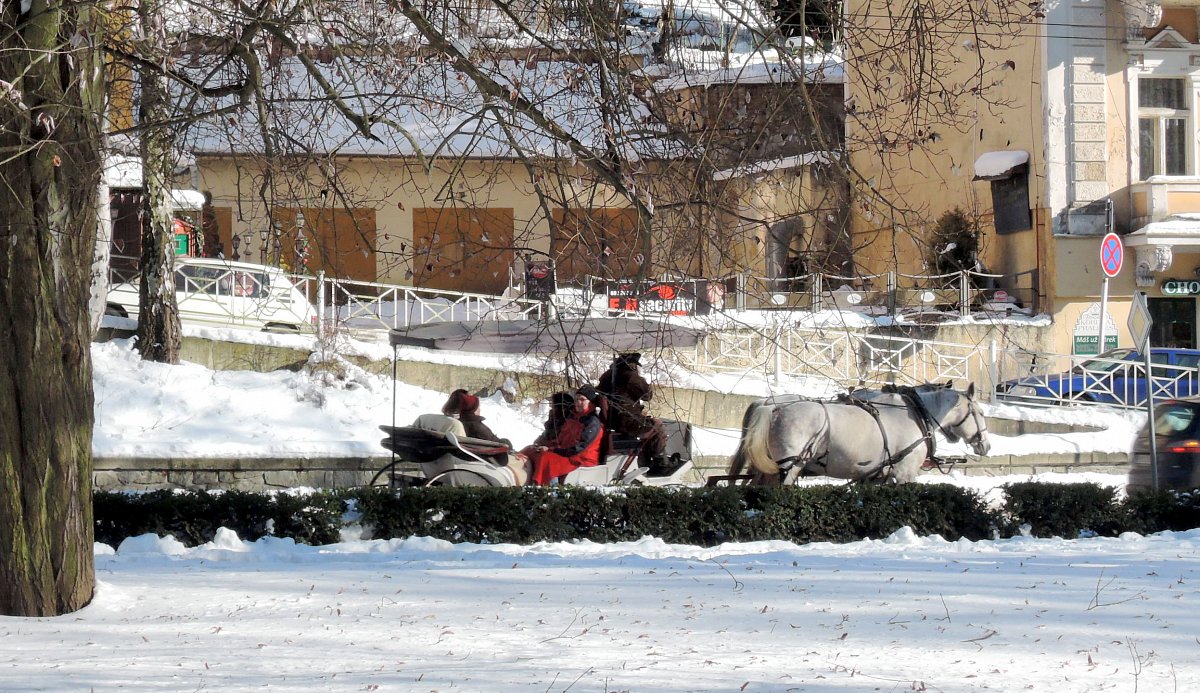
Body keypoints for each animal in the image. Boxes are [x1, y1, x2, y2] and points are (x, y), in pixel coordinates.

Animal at [724, 381, 988, 481]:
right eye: (981, 413)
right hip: (789, 465)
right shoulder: (905, 472)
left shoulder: (872, 475)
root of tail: (772, 407)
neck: (917, 414)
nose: (986, 445)